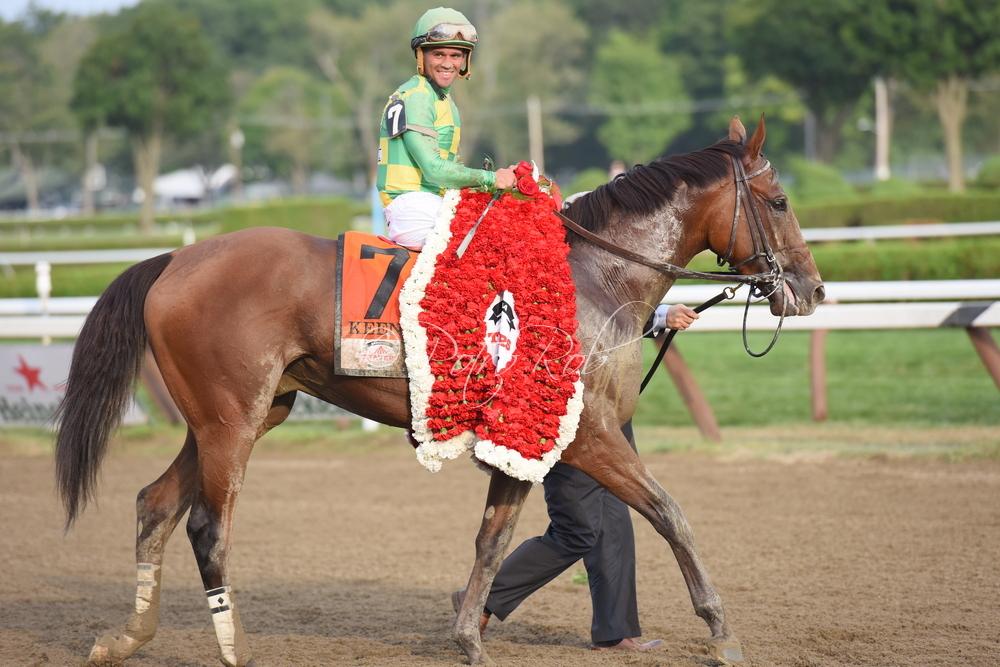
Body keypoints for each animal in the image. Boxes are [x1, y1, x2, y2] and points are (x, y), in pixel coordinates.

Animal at [54, 117, 820, 664]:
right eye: (781, 200)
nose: (811, 289)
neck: (591, 278)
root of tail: (174, 259)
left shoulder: (525, 447)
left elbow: (493, 538)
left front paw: (469, 636)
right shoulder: (590, 439)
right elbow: (671, 514)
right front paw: (721, 630)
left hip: (239, 416)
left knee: (155, 504)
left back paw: (127, 636)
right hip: (230, 421)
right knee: (208, 527)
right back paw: (230, 648)